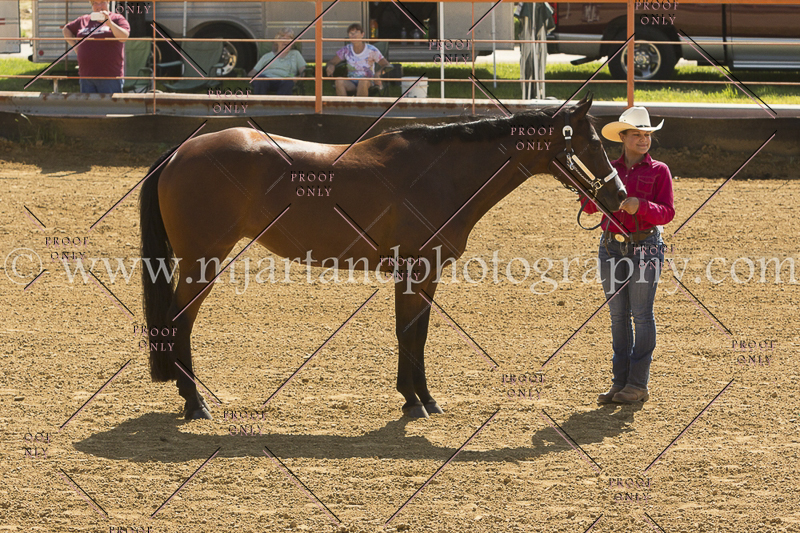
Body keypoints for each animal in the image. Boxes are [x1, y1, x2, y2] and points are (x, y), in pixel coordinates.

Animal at [139, 94, 627, 420]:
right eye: (592, 143)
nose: (619, 195)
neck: (439, 174)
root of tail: (181, 152)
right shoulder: (416, 269)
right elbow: (411, 334)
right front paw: (418, 401)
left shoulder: (421, 274)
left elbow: (415, 334)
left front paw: (418, 398)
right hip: (202, 263)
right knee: (179, 322)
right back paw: (196, 403)